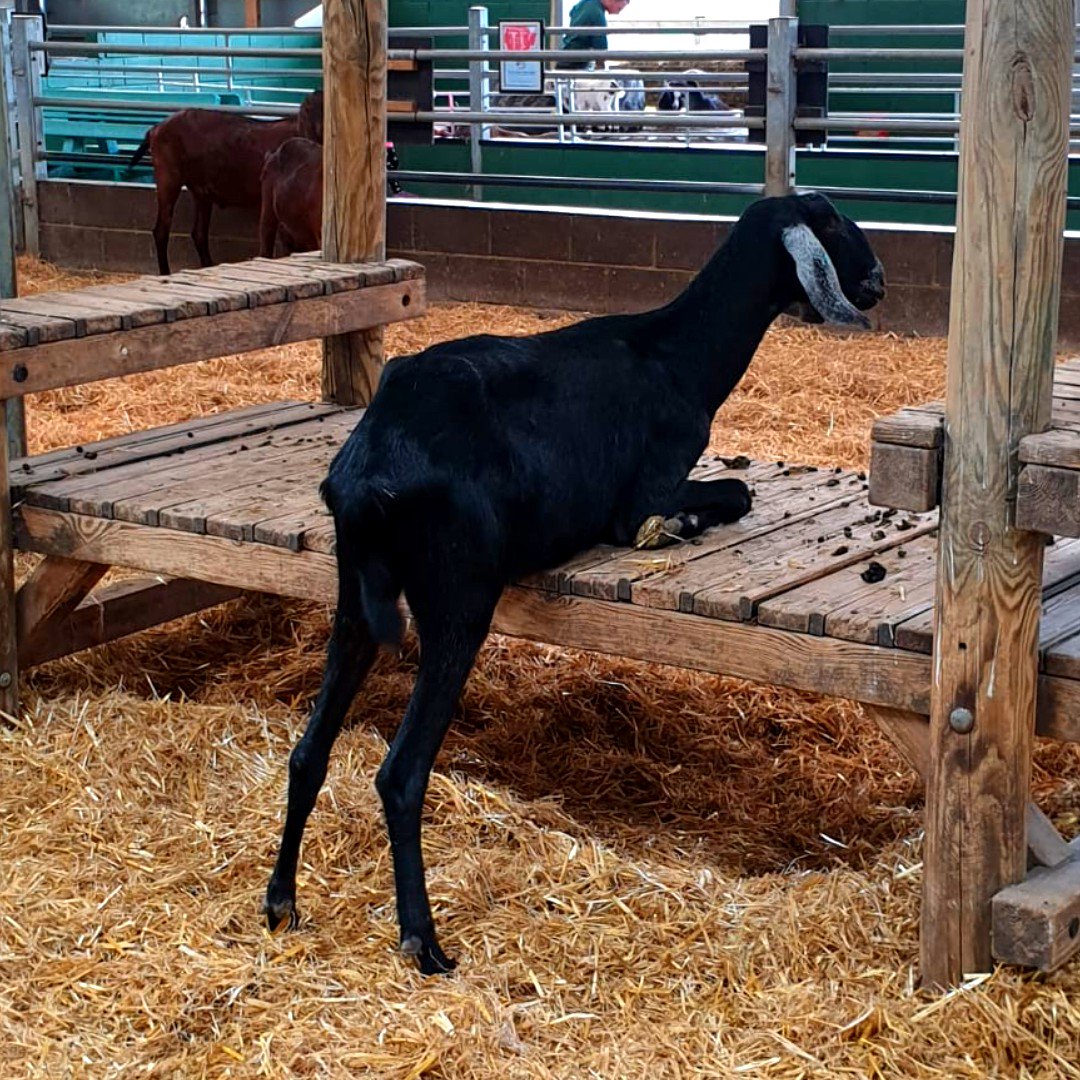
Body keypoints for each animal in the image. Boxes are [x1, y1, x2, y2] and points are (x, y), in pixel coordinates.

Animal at [128, 90, 323, 275]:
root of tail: (156, 128)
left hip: (200, 192)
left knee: (199, 233)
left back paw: (207, 264)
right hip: (168, 178)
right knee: (161, 230)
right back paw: (165, 272)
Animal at [264, 193, 886, 975]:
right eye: (830, 222)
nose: (877, 282)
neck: (674, 356)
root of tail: (368, 472)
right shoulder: (642, 492)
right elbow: (731, 494)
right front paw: (678, 524)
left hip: (353, 595)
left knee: (308, 751)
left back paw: (281, 902)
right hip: (458, 595)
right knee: (400, 775)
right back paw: (423, 941)